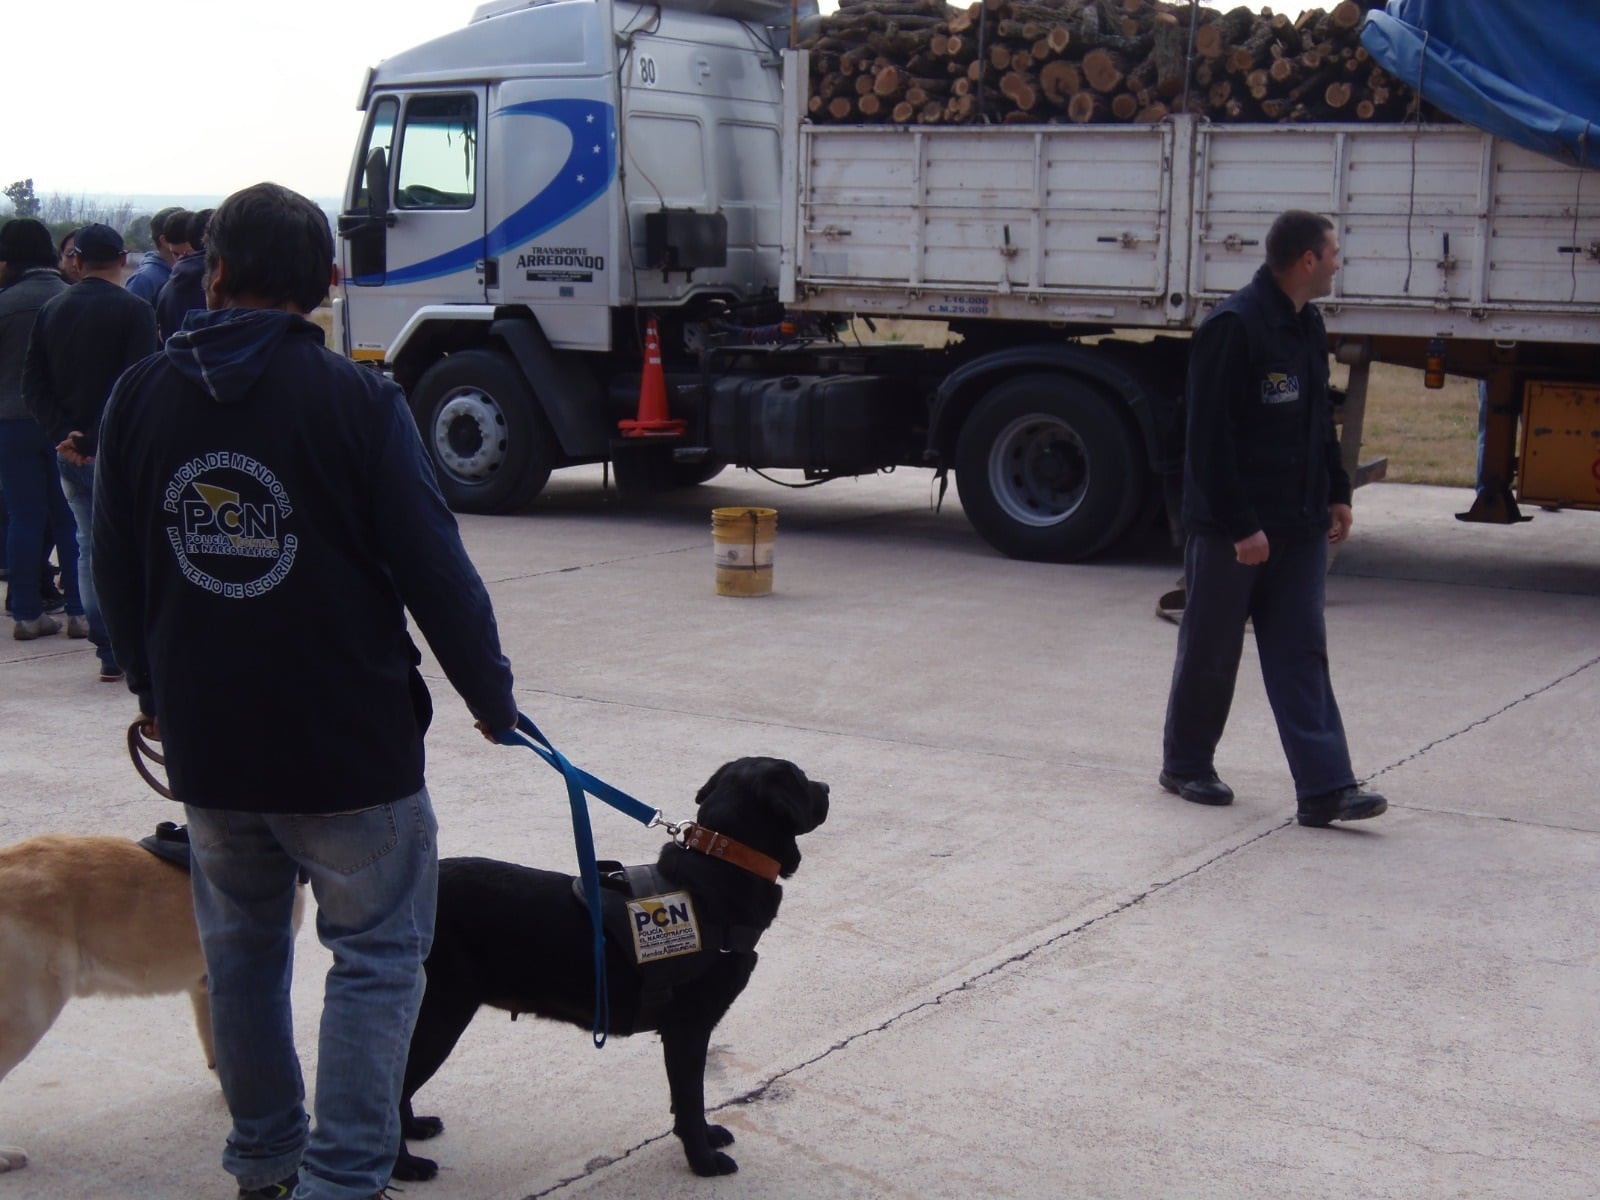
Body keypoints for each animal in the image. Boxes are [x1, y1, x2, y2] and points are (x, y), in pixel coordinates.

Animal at [393, 761, 832, 1184]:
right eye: (800, 777)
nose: (828, 787)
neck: (721, 868)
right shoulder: (687, 1028)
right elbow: (691, 1099)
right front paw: (703, 1161)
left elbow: (688, 1099)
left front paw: (705, 1138)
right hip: (442, 1014)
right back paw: (405, 1167)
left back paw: (414, 1131)